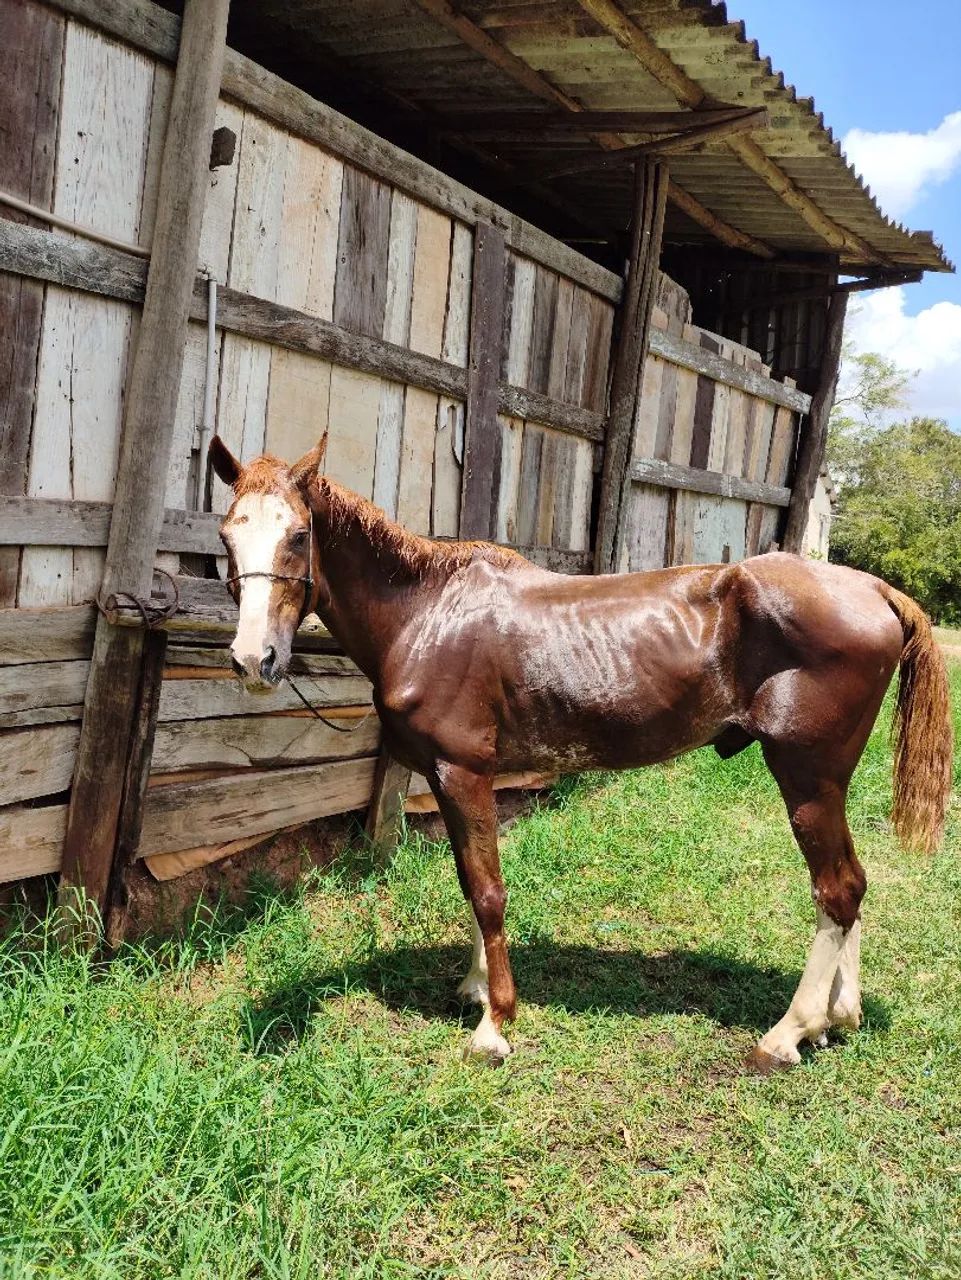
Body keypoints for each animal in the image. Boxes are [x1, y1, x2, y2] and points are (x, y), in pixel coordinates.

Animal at [209, 432, 953, 1070]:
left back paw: (787, 1033)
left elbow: (488, 890)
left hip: (805, 778)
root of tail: (872, 588)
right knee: (851, 889)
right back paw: (837, 1017)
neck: (428, 613)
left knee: (837, 889)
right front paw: (475, 987)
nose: (253, 659)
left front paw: (494, 1024)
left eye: (298, 534)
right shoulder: (455, 782)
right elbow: (469, 880)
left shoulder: (462, 773)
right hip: (826, 783)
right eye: (227, 534)